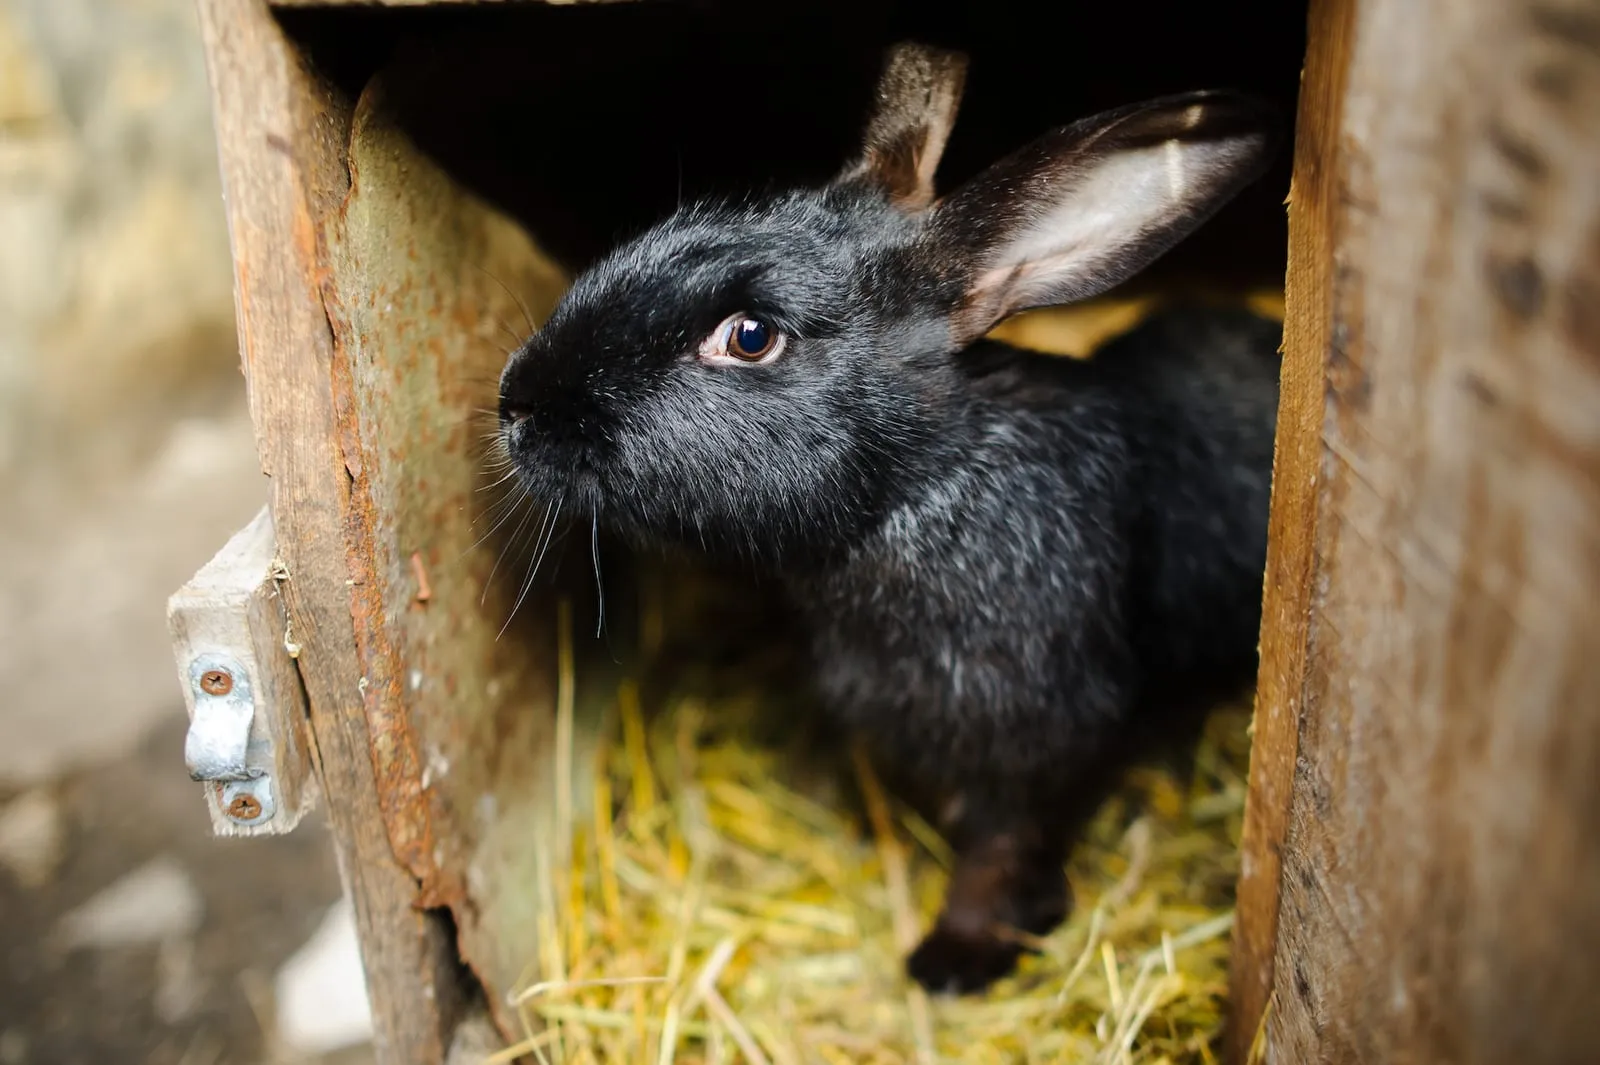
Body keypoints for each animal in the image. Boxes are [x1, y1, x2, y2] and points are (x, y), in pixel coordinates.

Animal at [495, 40, 1283, 994]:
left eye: (750, 336)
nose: (517, 404)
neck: (918, 489)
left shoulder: (1040, 740)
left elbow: (1002, 848)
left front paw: (955, 957)